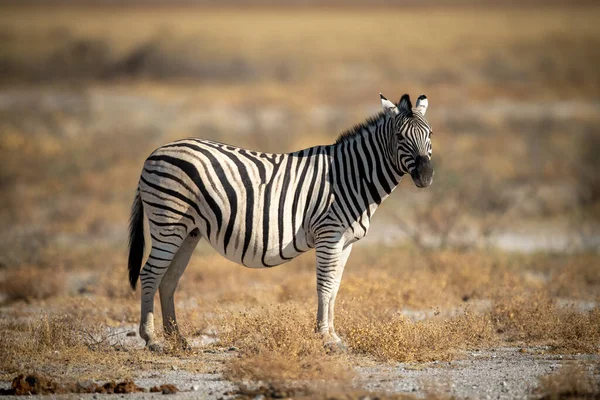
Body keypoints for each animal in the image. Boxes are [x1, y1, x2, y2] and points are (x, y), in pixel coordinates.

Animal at [129, 93, 434, 350]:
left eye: (430, 134)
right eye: (400, 136)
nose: (426, 176)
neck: (350, 176)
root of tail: (154, 153)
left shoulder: (346, 242)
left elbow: (335, 287)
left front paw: (334, 336)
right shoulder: (329, 234)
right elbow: (325, 285)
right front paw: (325, 338)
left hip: (188, 230)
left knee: (168, 279)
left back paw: (177, 339)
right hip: (168, 222)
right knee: (150, 274)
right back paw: (152, 339)